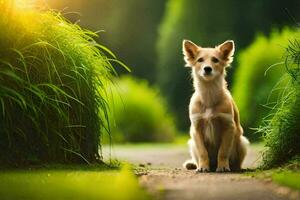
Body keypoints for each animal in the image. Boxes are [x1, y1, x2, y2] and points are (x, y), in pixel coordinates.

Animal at [182, 39, 250, 173]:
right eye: (200, 60)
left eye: (215, 60)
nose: (207, 69)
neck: (209, 95)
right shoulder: (196, 128)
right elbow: (203, 152)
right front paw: (203, 167)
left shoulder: (228, 126)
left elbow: (223, 151)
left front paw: (223, 166)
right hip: (191, 143)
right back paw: (195, 165)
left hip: (242, 141)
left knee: (237, 162)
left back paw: (235, 168)